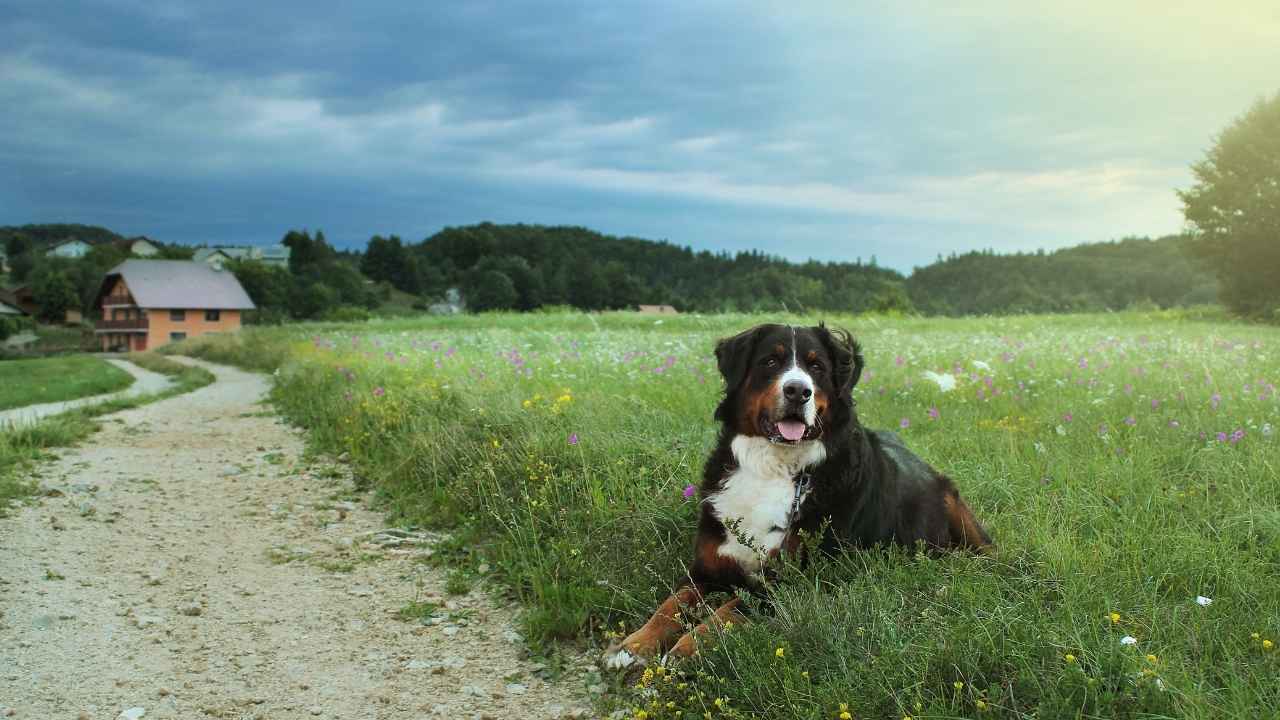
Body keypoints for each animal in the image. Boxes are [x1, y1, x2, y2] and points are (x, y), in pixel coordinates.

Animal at [601, 322, 988, 666]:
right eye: (770, 361)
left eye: (816, 366)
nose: (799, 391)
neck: (773, 467)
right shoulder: (707, 567)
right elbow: (670, 606)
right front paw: (632, 645)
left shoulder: (789, 579)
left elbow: (726, 612)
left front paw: (684, 650)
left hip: (958, 508)